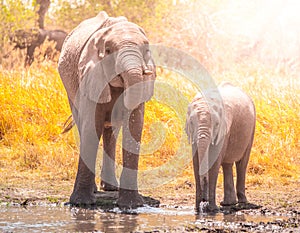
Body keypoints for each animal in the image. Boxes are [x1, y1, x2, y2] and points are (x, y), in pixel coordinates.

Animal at [59, 10, 157, 208]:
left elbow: (134, 127)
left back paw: (111, 188)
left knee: (111, 132)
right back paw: (96, 190)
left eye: (146, 51)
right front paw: (81, 204)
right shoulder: (90, 76)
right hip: (70, 90)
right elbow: (91, 127)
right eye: (109, 51)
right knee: (83, 126)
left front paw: (131, 205)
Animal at [185, 82, 255, 213]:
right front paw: (196, 210)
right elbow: (196, 162)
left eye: (217, 124)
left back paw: (242, 202)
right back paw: (228, 203)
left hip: (252, 129)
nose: (204, 201)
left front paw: (212, 209)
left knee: (242, 163)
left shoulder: (224, 129)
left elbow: (215, 161)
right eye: (191, 123)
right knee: (227, 164)